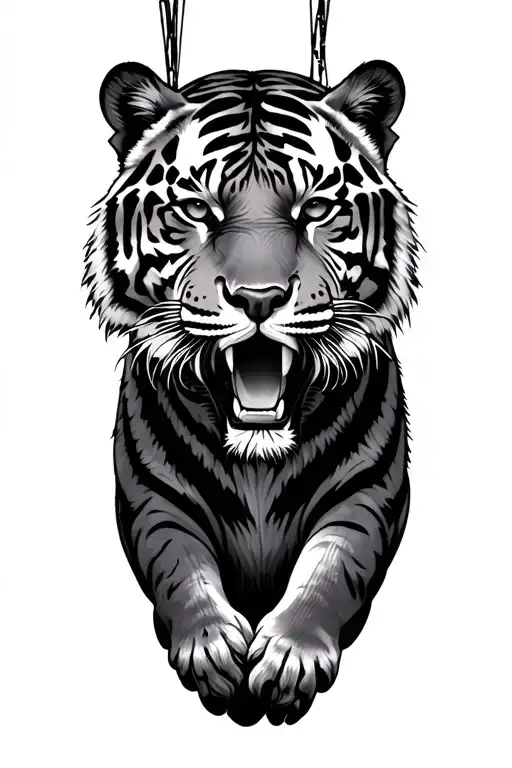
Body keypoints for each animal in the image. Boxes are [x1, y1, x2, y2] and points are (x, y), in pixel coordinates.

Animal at [83, 59, 420, 726]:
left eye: (317, 208)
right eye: (196, 209)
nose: (258, 298)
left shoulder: (367, 493)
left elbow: (331, 568)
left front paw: (290, 656)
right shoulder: (154, 498)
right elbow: (179, 566)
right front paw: (210, 646)